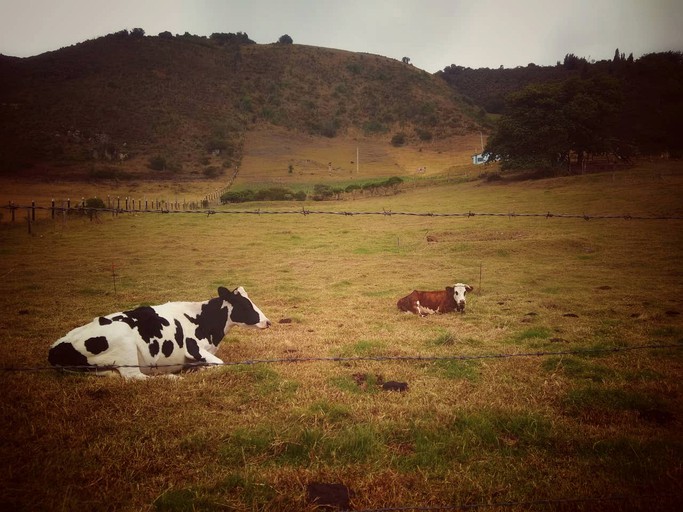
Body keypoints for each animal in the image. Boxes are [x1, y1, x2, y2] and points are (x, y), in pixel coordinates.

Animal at [48, 286, 272, 378]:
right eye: (244, 305)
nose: (267, 322)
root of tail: (55, 349)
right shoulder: (193, 348)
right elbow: (221, 364)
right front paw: (199, 369)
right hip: (125, 347)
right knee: (134, 377)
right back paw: (172, 378)